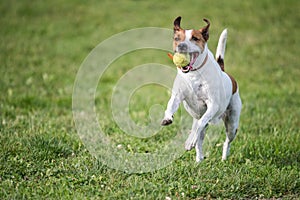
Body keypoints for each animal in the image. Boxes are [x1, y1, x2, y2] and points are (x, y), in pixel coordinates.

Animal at [162, 16, 241, 162]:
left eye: (195, 38)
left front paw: (190, 140)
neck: (193, 74)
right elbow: (170, 106)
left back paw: (223, 157)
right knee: (199, 138)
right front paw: (167, 118)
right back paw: (198, 158)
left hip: (232, 122)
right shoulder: (177, 96)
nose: (182, 45)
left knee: (226, 140)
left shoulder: (212, 105)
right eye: (177, 38)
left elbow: (200, 123)